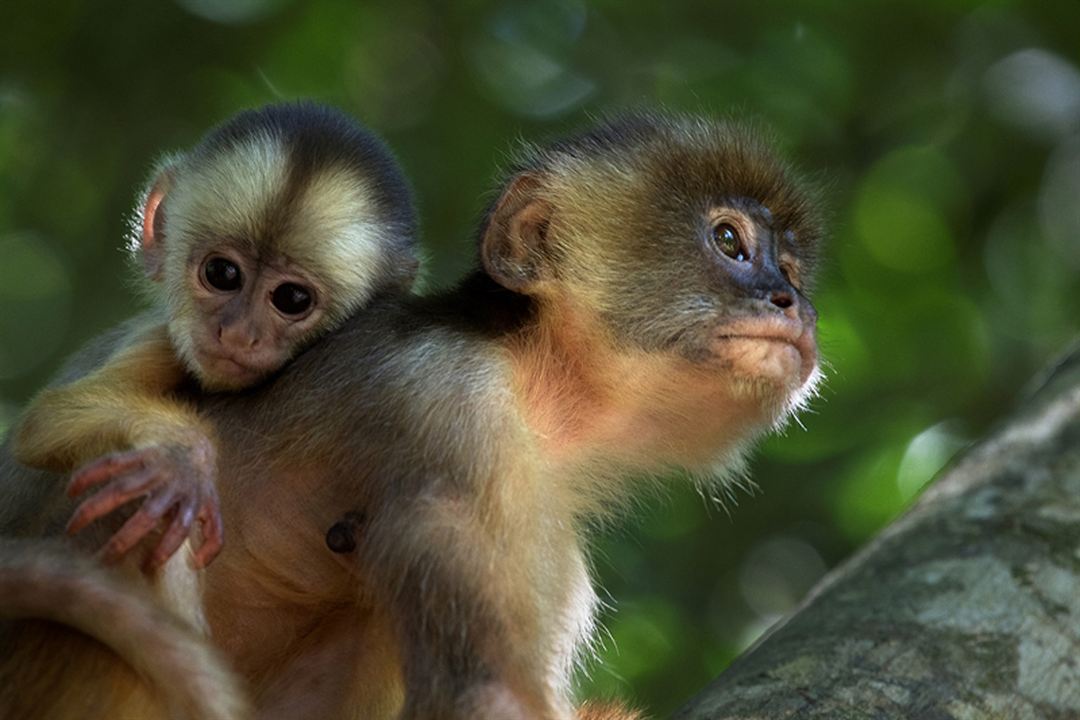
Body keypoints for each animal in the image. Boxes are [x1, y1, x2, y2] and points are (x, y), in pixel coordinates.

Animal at [0, 101, 416, 720]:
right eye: (223, 274)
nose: (238, 334)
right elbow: (46, 421)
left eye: (292, 299)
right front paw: (181, 460)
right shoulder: (161, 340)